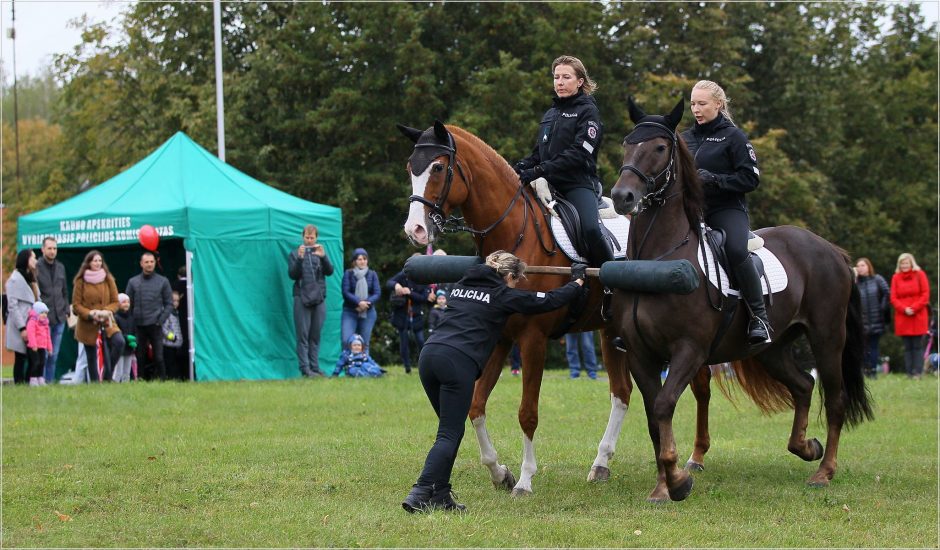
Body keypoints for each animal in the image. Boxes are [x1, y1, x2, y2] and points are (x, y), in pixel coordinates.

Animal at [396, 123, 640, 498]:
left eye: (437, 167)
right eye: (412, 168)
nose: (416, 230)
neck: (516, 233)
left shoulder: (532, 340)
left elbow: (528, 413)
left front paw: (525, 480)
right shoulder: (499, 338)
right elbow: (475, 405)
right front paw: (499, 472)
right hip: (608, 330)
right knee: (621, 393)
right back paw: (600, 465)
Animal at [604, 99, 872, 504]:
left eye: (660, 148)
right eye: (626, 143)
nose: (623, 197)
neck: (659, 257)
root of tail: (832, 250)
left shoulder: (689, 350)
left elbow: (665, 405)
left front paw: (678, 481)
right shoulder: (639, 353)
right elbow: (654, 417)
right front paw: (663, 486)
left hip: (827, 339)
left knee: (835, 400)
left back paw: (824, 472)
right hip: (772, 348)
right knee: (802, 386)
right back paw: (806, 447)